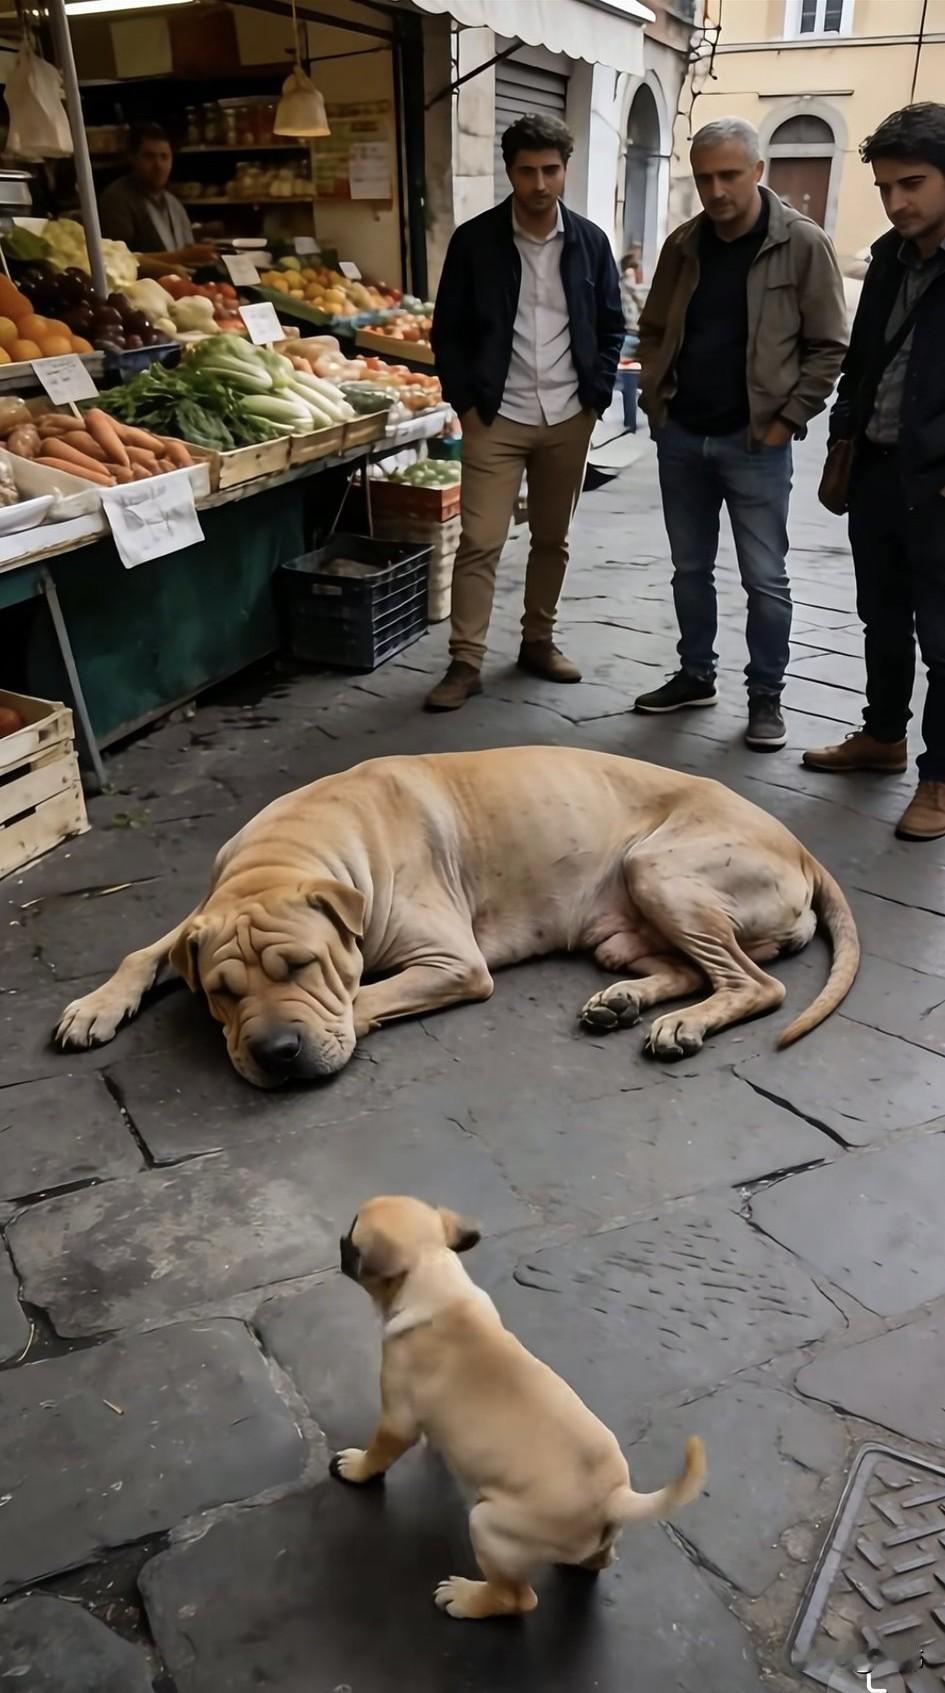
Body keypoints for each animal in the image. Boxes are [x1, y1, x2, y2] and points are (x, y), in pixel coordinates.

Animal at [56, 746, 859, 1087]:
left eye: (305, 966)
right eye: (222, 992)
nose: (276, 1052)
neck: (297, 847)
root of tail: (802, 847)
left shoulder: (452, 961)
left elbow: (360, 999)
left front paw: (347, 1020)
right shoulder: (203, 913)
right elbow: (143, 952)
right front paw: (94, 1007)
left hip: (660, 869)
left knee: (755, 983)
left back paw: (681, 1024)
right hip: (622, 924)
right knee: (686, 967)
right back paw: (624, 1001)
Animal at [331, 1195, 707, 1619]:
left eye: (354, 1234)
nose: (340, 1239)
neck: (434, 1277)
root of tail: (615, 1498)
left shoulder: (396, 1418)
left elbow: (378, 1451)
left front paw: (357, 1468)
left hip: (490, 1527)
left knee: (516, 1597)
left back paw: (467, 1597)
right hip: (589, 1539)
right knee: (600, 1559)